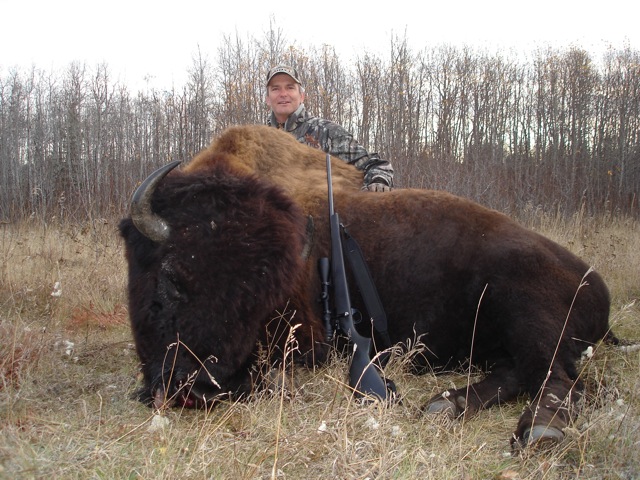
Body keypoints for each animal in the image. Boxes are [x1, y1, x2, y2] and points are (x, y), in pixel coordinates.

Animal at [119, 125, 614, 448]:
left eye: (257, 301)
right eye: (169, 280)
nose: (196, 387)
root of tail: (594, 280)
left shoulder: (309, 344)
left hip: (524, 309)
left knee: (562, 380)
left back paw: (539, 430)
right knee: (522, 373)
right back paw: (445, 406)